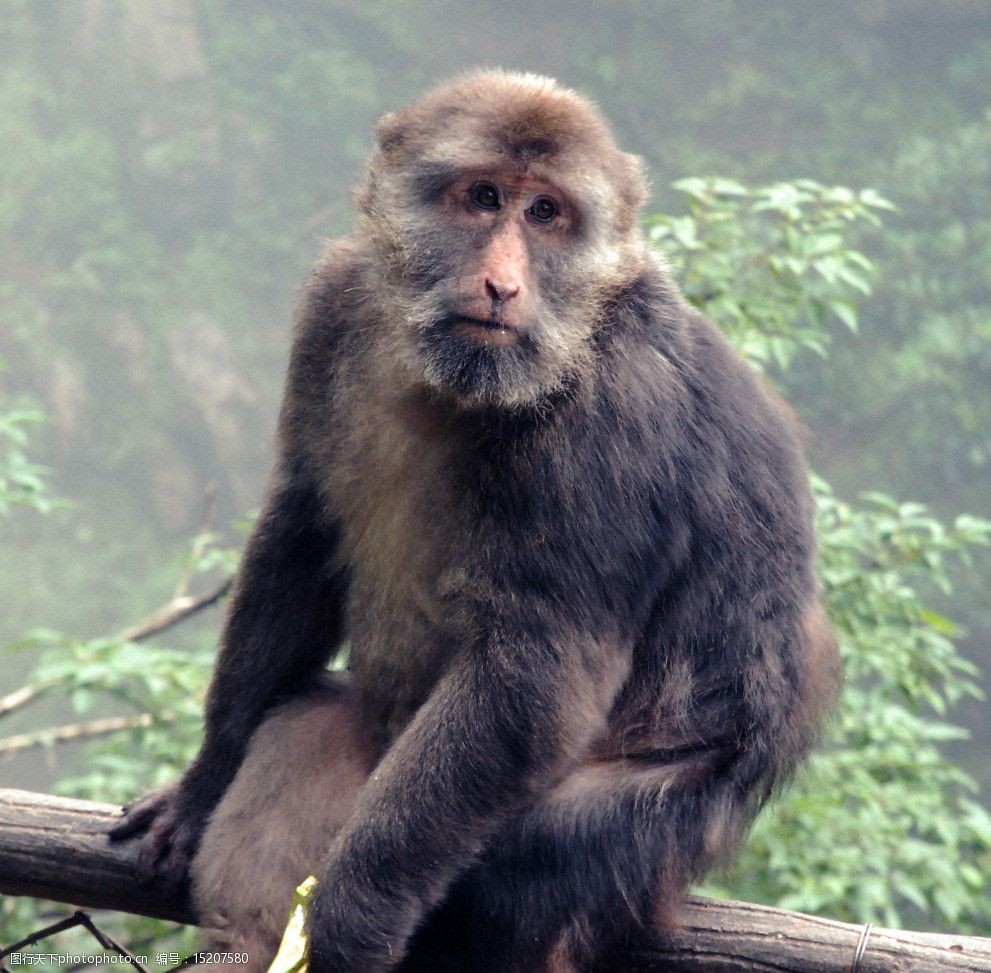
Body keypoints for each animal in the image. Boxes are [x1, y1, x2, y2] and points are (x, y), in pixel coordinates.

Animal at [108, 72, 840, 972]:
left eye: (546, 214)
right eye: (484, 197)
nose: (500, 284)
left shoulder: (616, 416)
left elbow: (536, 669)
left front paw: (350, 911)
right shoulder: (338, 299)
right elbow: (302, 530)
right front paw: (203, 780)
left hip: (628, 832)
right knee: (301, 739)